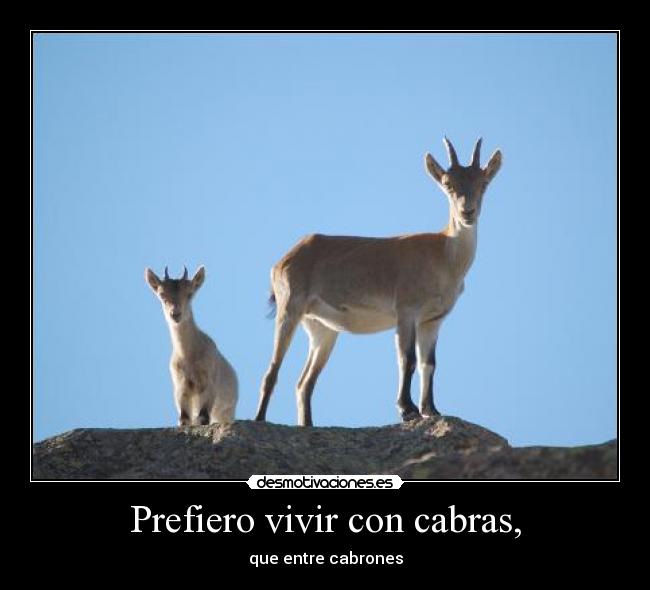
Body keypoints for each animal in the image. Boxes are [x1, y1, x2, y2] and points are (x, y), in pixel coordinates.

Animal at [145, 265, 238, 426]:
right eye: (162, 295)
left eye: (190, 294)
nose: (175, 314)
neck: (188, 356)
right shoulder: (181, 387)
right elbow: (184, 419)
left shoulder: (209, 384)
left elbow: (203, 418)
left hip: (226, 411)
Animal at [255, 137, 502, 426]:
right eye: (448, 184)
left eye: (483, 183)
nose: (467, 213)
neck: (444, 255)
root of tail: (283, 260)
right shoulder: (406, 311)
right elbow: (407, 359)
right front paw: (407, 409)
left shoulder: (432, 320)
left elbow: (429, 364)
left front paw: (431, 409)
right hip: (289, 308)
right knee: (272, 371)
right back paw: (259, 419)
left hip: (321, 328)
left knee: (304, 383)